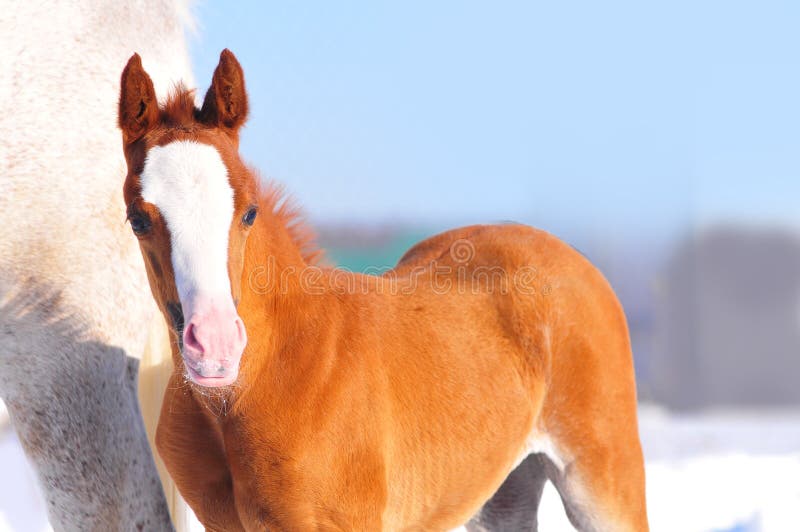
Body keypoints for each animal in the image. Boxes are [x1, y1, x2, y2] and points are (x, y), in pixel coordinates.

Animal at [119, 51, 648, 532]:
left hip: (601, 483)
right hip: (503, 491)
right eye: (138, 220)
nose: (215, 347)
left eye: (249, 212)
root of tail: (572, 256)